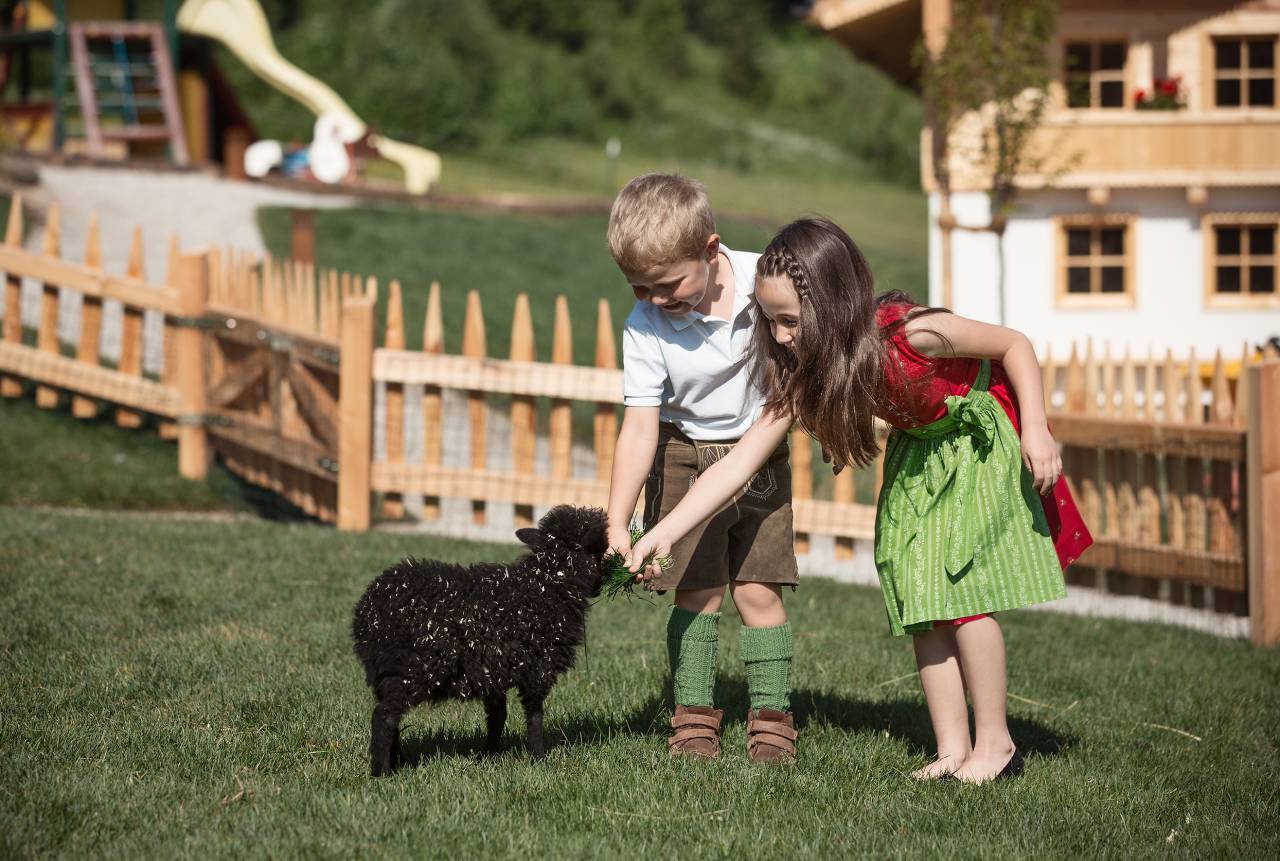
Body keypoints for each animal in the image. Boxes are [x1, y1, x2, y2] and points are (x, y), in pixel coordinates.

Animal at [350, 504, 609, 772]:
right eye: (599, 549)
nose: (603, 581)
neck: (547, 584)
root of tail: (367, 615)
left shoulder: (492, 670)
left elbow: (497, 716)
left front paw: (488, 755)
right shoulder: (537, 670)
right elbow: (535, 717)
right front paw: (538, 759)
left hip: (388, 671)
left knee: (391, 714)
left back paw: (397, 760)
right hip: (413, 667)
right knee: (385, 716)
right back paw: (382, 771)